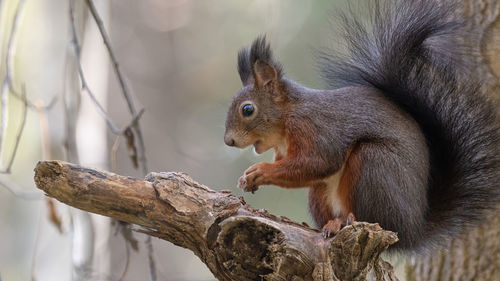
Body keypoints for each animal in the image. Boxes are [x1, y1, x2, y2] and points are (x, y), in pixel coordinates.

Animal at [224, 0, 500, 250]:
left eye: (247, 110)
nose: (229, 141)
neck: (287, 118)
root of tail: (413, 231)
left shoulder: (316, 129)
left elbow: (317, 162)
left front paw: (260, 171)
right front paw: (246, 179)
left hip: (373, 165)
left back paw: (346, 221)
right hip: (320, 192)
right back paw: (333, 223)